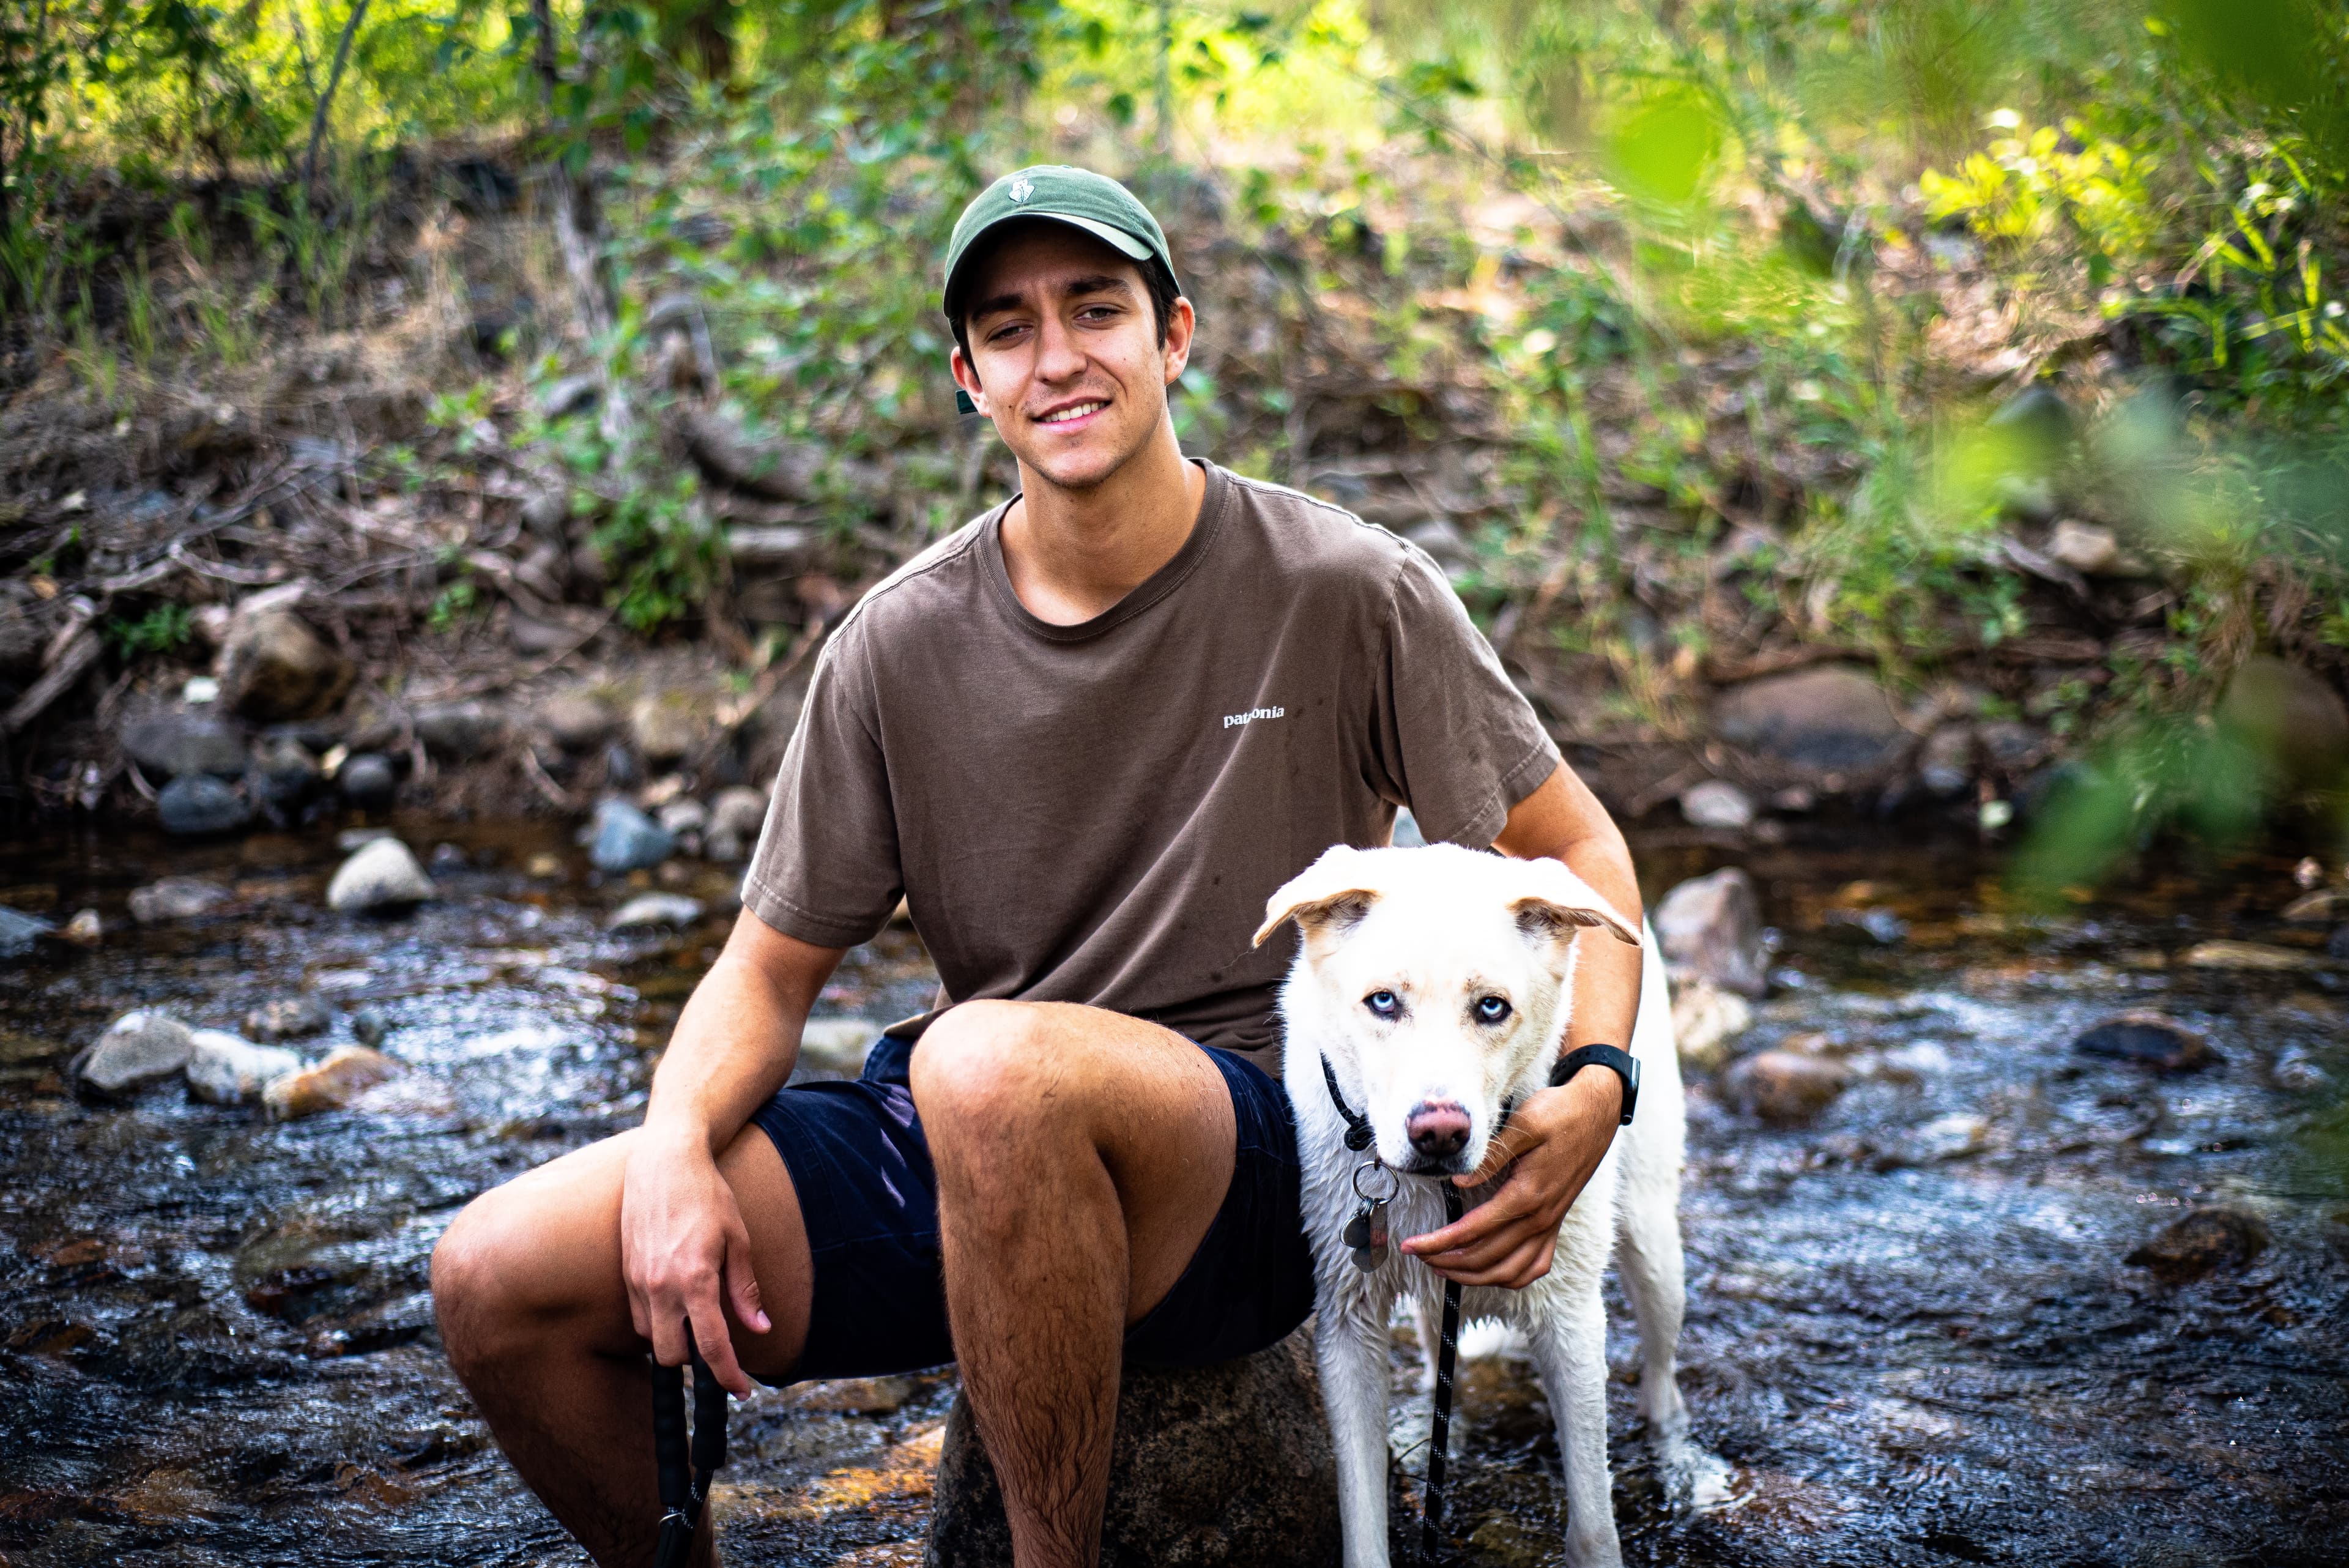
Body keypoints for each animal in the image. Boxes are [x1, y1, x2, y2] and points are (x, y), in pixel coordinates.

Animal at [1259, 846, 1719, 1568]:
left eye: (1492, 1007)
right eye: (1382, 1001)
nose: (1439, 1133)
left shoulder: (1572, 1321)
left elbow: (1595, 1523)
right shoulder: (1348, 1325)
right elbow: (1362, 1516)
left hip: (1652, 1244)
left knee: (1663, 1382)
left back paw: (1677, 1462)